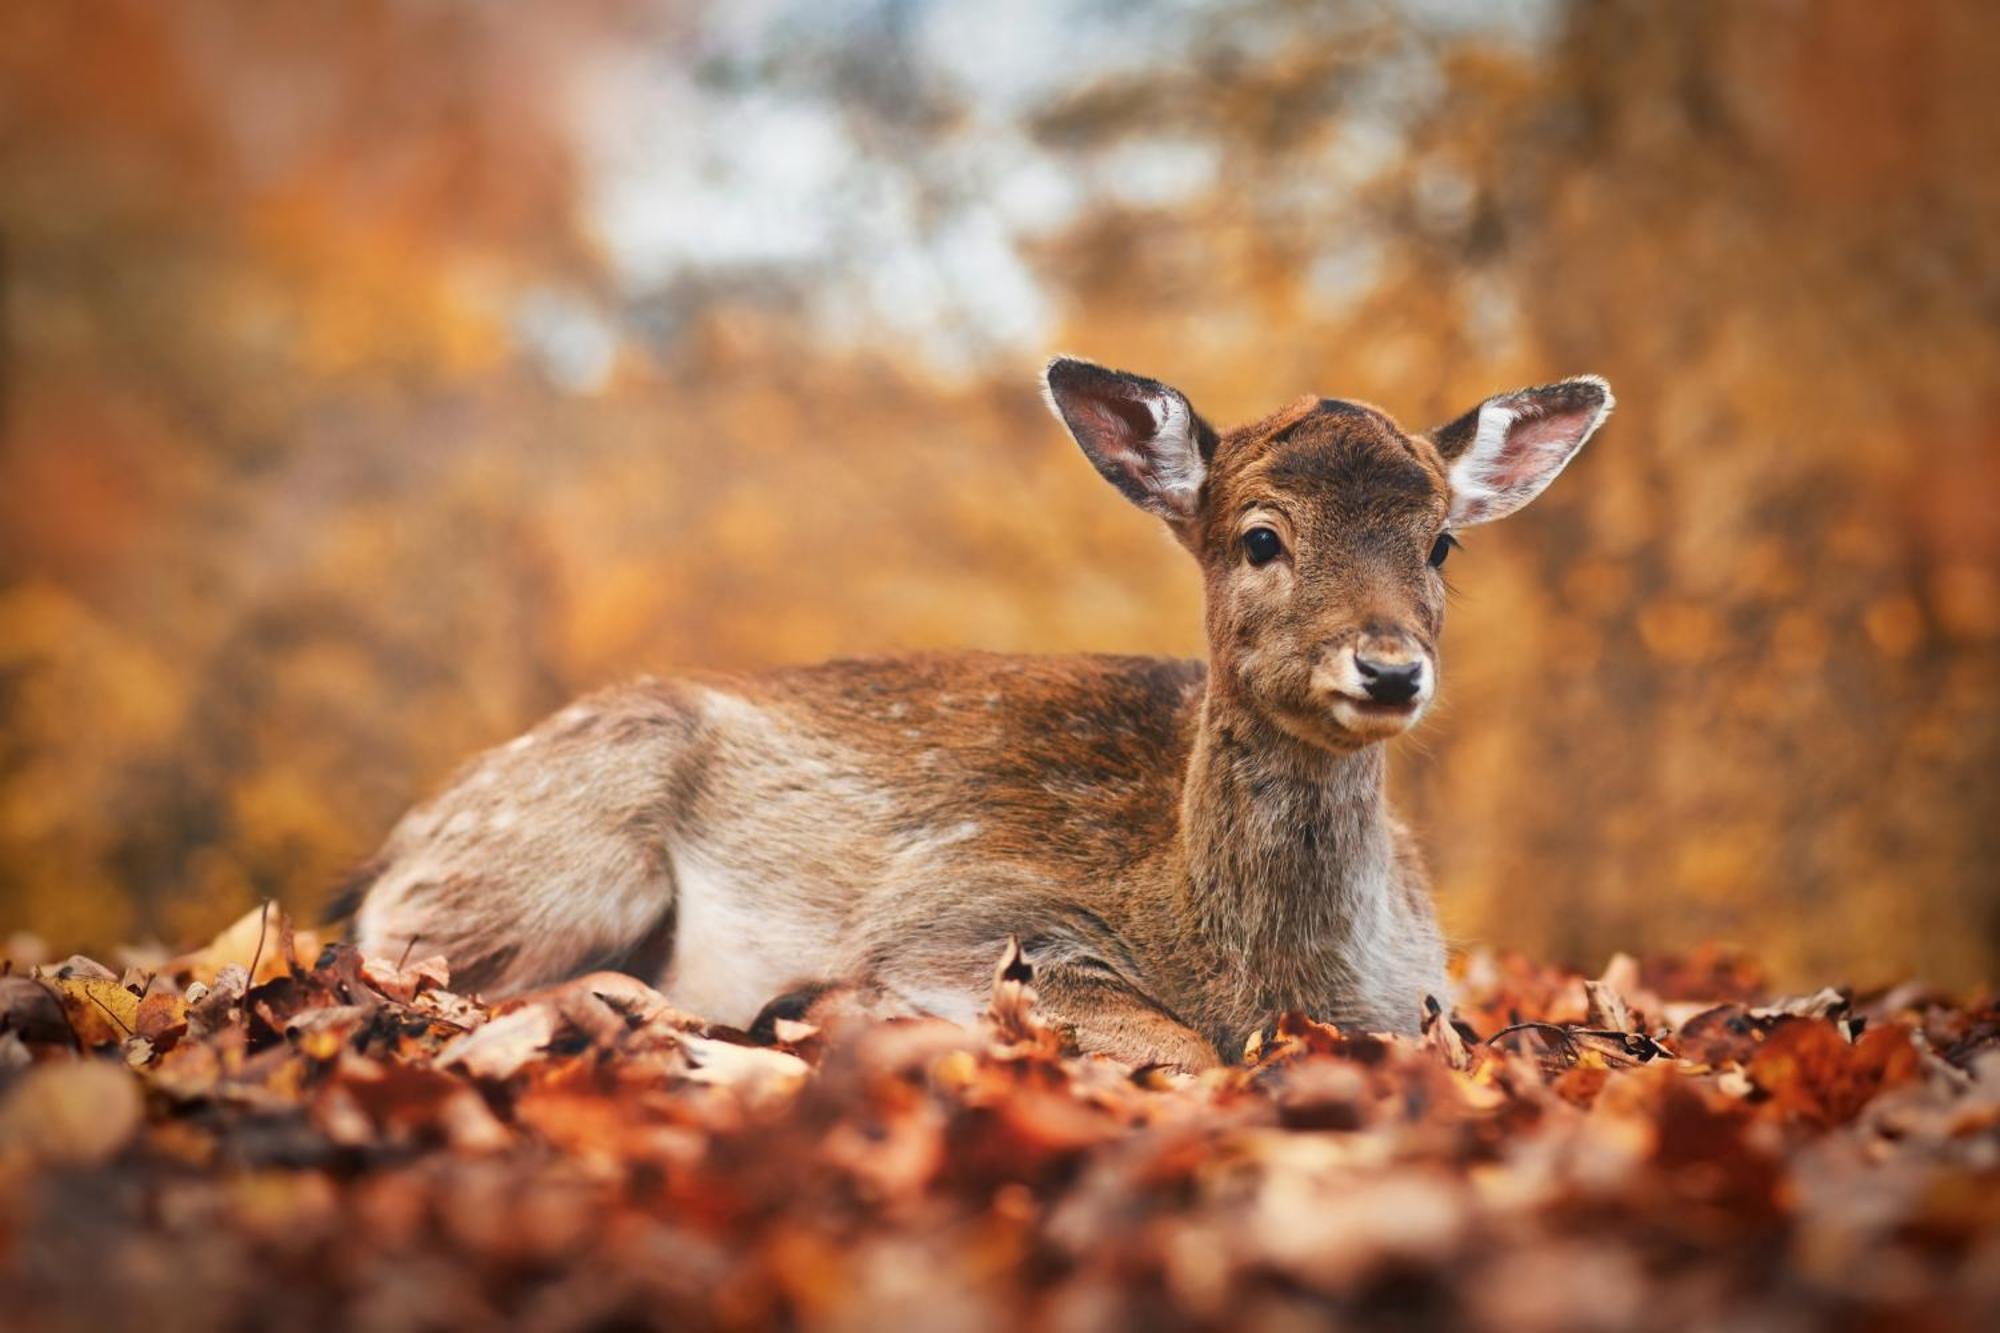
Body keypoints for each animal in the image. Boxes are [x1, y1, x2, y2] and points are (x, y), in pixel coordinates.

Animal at [348, 360, 1608, 1072]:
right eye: (1259, 537)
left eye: (1437, 543)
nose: (1388, 667)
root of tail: (392, 847)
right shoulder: (963, 912)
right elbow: (1177, 1047)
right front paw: (839, 1006)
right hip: (557, 856)